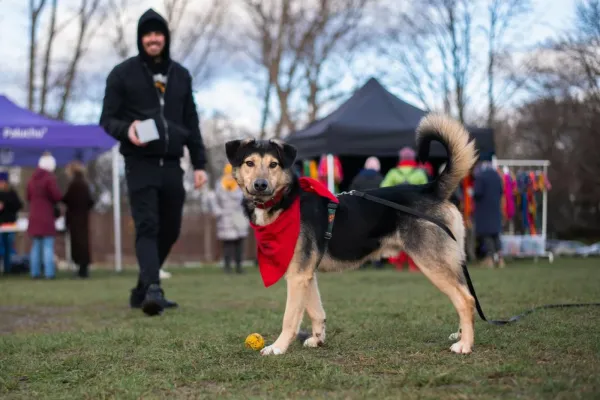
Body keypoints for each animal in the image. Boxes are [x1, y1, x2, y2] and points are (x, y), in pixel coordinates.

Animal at [225, 112, 478, 356]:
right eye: (249, 163)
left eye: (274, 164)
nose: (260, 185)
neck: (285, 201)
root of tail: (430, 189)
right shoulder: (306, 275)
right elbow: (316, 311)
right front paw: (317, 340)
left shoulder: (297, 275)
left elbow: (289, 318)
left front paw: (277, 347)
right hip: (450, 261)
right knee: (466, 294)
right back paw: (460, 334)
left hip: (432, 262)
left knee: (465, 300)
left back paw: (465, 345)